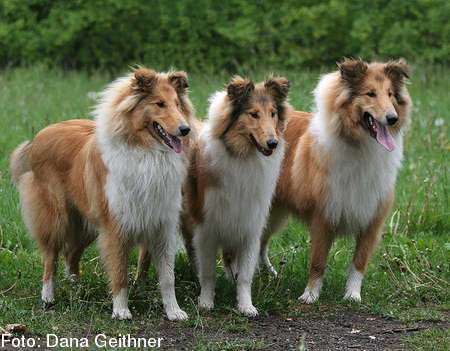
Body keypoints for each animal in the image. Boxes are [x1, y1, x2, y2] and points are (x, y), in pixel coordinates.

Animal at [11, 67, 195, 320]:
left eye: (178, 104)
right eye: (159, 104)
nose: (185, 129)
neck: (147, 153)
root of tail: (38, 136)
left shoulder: (162, 225)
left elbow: (168, 277)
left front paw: (174, 311)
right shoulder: (115, 226)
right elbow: (119, 272)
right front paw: (121, 310)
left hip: (86, 223)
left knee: (71, 255)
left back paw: (77, 288)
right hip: (57, 218)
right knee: (51, 257)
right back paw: (48, 296)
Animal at [184, 76, 292, 316]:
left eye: (273, 113)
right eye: (253, 114)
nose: (273, 143)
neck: (243, 157)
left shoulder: (249, 225)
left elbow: (245, 276)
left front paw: (246, 306)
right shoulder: (206, 227)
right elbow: (208, 273)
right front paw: (206, 302)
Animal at [260, 59, 412, 304]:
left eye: (390, 94)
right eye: (370, 93)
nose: (392, 118)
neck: (361, 146)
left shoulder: (372, 218)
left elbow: (359, 262)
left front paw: (352, 295)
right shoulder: (324, 215)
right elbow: (318, 262)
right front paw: (310, 295)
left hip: (274, 213)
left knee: (261, 243)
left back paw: (270, 273)